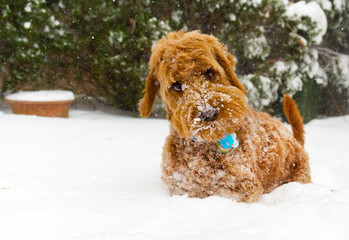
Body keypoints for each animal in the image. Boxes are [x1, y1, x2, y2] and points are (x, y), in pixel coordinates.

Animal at [139, 30, 310, 202]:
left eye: (209, 72)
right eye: (176, 85)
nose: (209, 113)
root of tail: (295, 141)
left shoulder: (243, 187)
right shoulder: (182, 187)